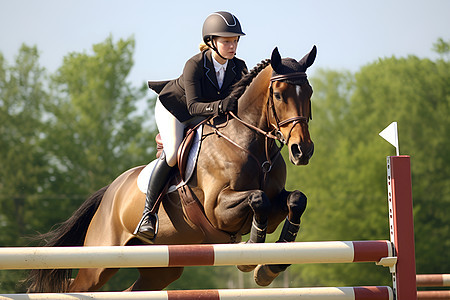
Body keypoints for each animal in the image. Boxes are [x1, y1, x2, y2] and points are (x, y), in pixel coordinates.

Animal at [27, 45, 316, 292]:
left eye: (309, 93)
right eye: (278, 95)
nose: (302, 151)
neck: (251, 145)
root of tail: (110, 192)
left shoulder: (275, 201)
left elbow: (295, 199)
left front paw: (271, 265)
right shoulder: (217, 210)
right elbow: (258, 198)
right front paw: (252, 251)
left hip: (161, 267)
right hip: (99, 262)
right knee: (78, 286)